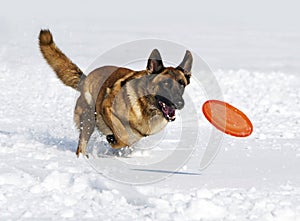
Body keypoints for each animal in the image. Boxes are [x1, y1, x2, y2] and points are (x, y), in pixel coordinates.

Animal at [38, 29, 192, 157]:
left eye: (182, 84)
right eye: (165, 84)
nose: (180, 103)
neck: (147, 107)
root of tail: (85, 79)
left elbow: (127, 140)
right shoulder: (106, 107)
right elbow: (122, 134)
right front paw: (113, 139)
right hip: (88, 120)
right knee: (81, 146)